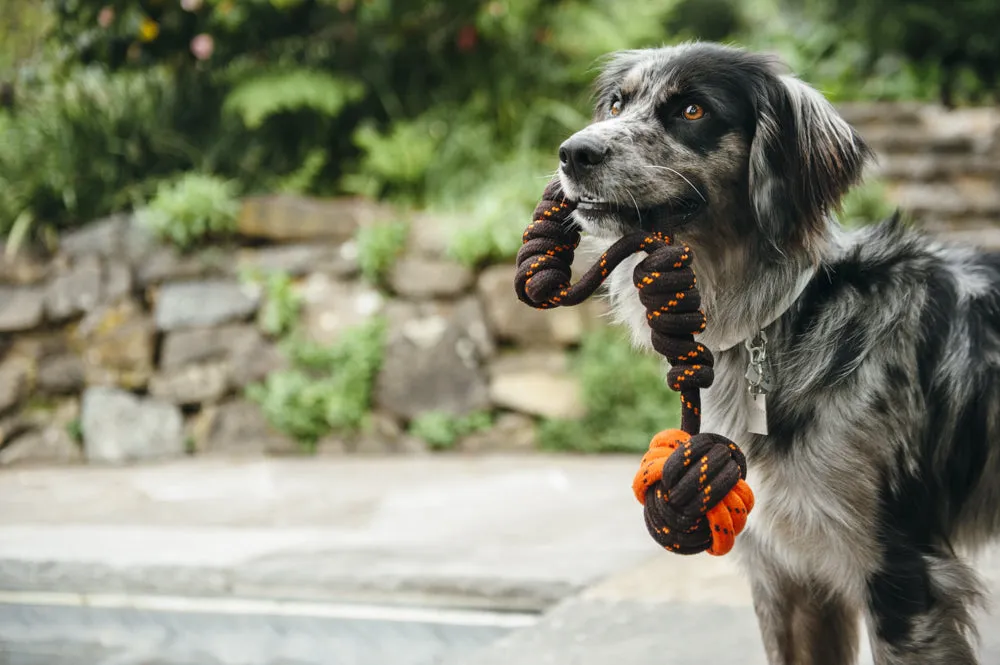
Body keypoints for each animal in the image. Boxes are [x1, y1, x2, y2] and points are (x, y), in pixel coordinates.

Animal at [556, 42, 1000, 664]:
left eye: (693, 110)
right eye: (617, 104)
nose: (574, 152)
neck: (786, 320)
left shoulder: (901, 573)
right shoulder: (787, 576)